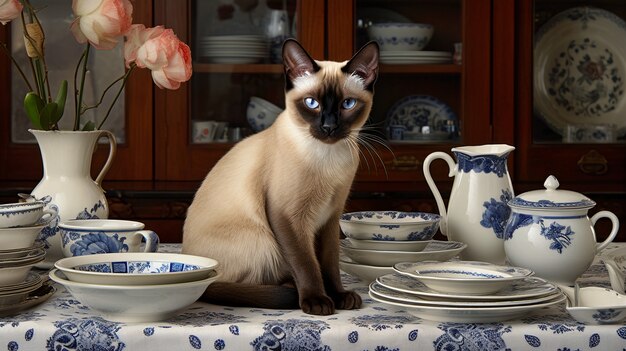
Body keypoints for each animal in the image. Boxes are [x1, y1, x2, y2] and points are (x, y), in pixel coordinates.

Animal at [180, 38, 376, 316]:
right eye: (311, 103)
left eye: (347, 104)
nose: (328, 127)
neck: (327, 159)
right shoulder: (288, 217)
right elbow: (306, 263)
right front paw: (317, 301)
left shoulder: (330, 217)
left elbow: (329, 262)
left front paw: (338, 296)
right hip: (263, 241)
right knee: (243, 284)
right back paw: (293, 292)